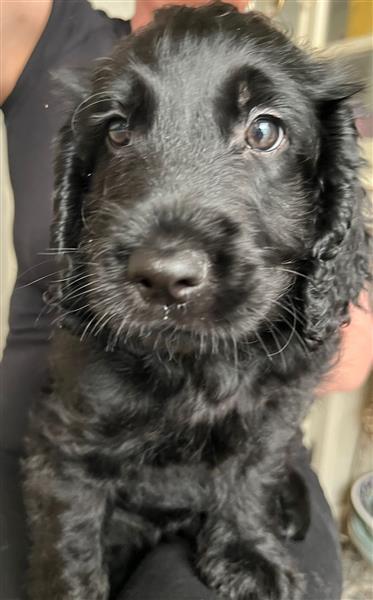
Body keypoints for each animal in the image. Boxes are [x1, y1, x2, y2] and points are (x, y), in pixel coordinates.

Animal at [23, 2, 370, 596]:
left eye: (264, 131)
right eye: (117, 132)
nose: (164, 277)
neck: (194, 363)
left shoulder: (276, 410)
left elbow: (252, 470)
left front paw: (246, 554)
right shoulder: (67, 442)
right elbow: (68, 540)